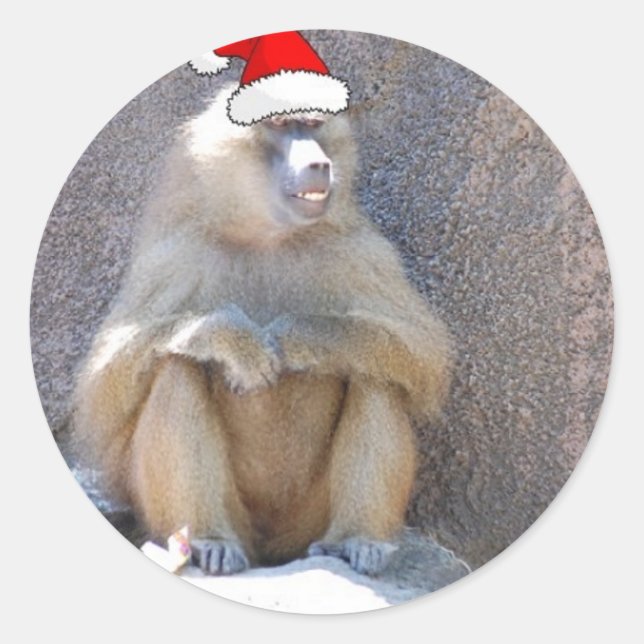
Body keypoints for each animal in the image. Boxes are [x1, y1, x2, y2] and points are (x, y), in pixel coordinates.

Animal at [73, 85, 452, 577]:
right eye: (280, 125)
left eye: (313, 125)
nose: (319, 164)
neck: (266, 236)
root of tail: (273, 552)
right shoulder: (174, 254)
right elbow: (102, 394)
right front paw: (233, 340)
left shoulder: (362, 250)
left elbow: (423, 357)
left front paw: (299, 338)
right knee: (176, 367)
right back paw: (210, 542)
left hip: (307, 524)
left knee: (375, 373)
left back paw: (356, 540)